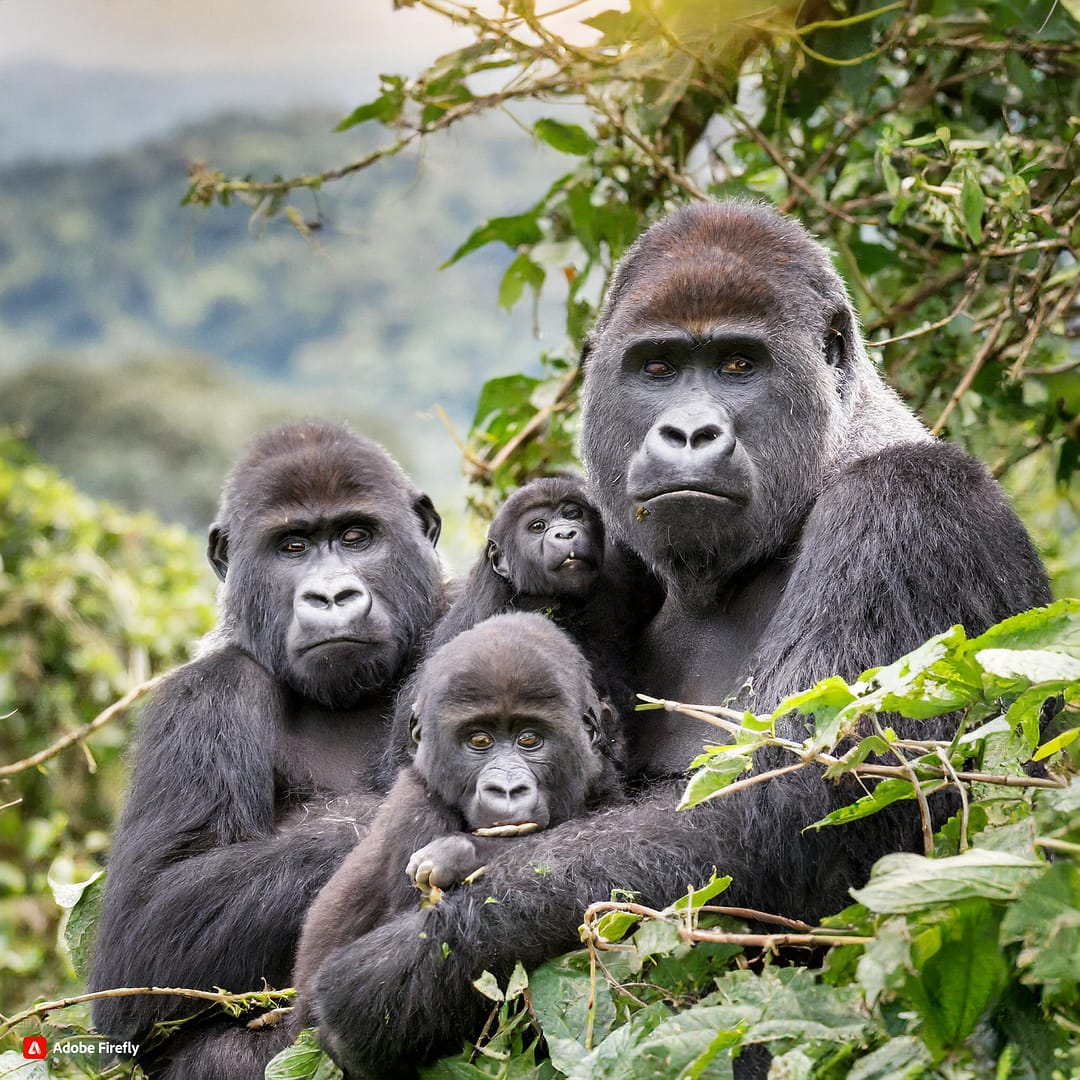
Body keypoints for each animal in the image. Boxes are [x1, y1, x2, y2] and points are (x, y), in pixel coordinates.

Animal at [291, 613, 622, 1032]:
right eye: (479, 741)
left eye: (529, 739)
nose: (506, 789)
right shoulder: (417, 805)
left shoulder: (602, 781)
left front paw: (459, 854)